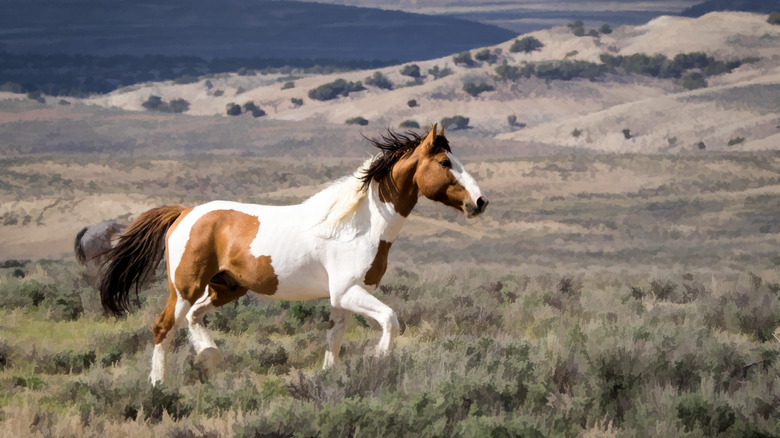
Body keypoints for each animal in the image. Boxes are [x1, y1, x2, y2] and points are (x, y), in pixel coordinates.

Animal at [97, 125, 488, 384]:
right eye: (445, 162)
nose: (480, 202)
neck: (359, 224)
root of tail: (184, 213)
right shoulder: (348, 292)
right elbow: (390, 319)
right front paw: (378, 360)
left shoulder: (344, 298)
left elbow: (333, 339)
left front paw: (330, 378)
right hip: (185, 286)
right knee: (163, 327)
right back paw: (159, 385)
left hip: (227, 287)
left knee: (194, 317)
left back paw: (210, 360)